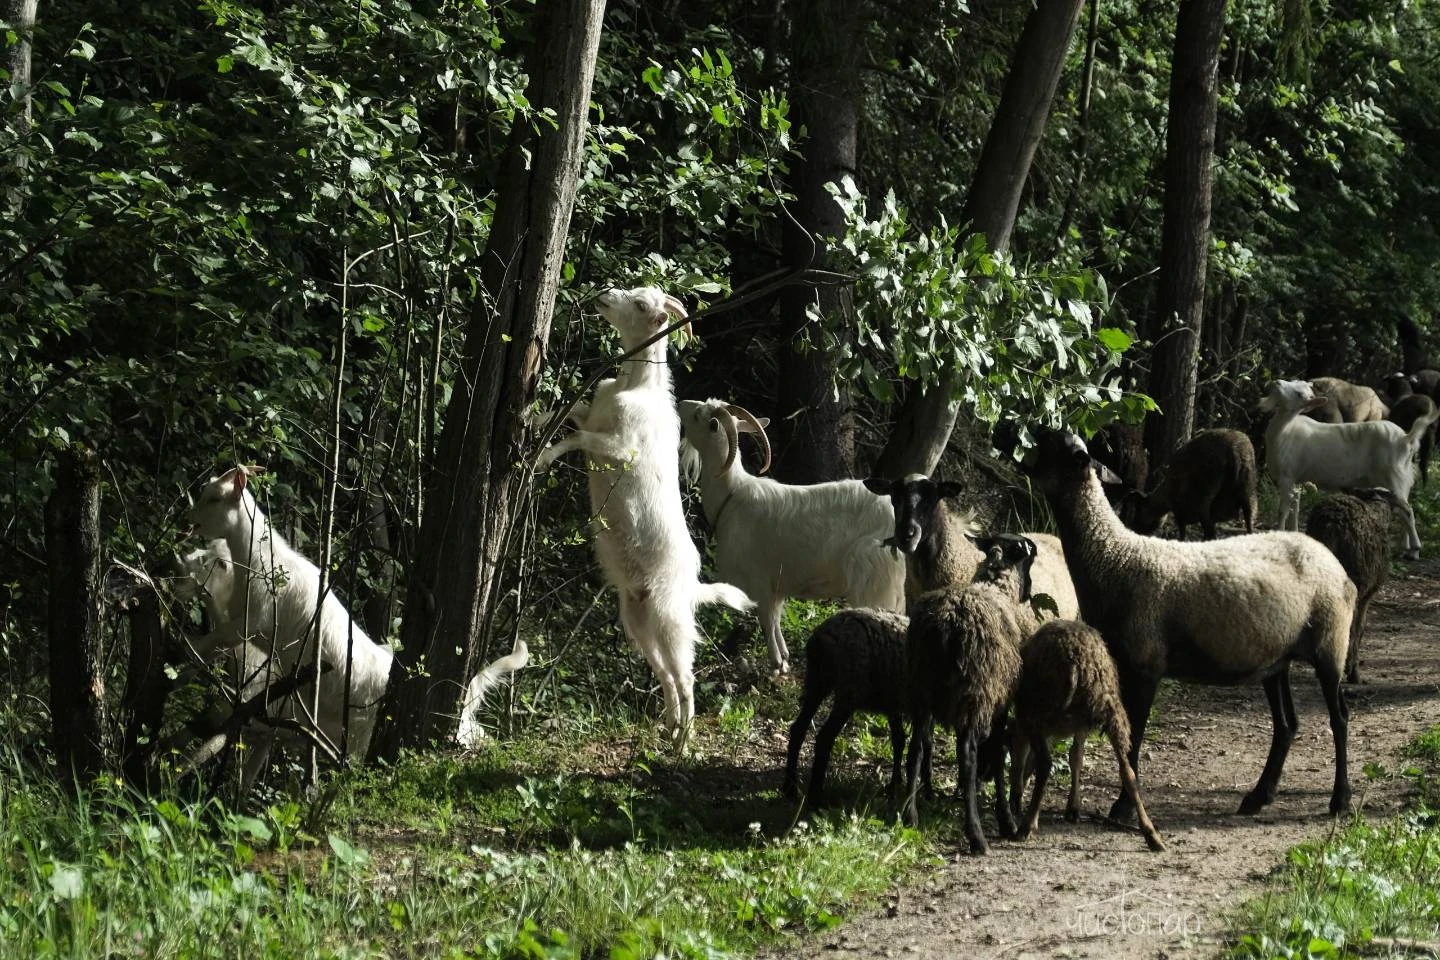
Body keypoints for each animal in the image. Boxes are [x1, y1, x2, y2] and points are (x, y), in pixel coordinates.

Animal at [673, 394, 898, 673]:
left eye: (698, 416)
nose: (681, 403)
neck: (731, 494)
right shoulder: (777, 582)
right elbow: (777, 618)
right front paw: (784, 655)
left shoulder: (759, 577)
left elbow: (767, 619)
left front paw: (777, 663)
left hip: (875, 577)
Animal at [1019, 431, 1353, 823]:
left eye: (1050, 444)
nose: (1007, 442)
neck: (1115, 558)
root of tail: (1332, 560)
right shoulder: (1123, 663)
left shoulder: (1146, 665)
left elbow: (1134, 737)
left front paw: (1123, 808)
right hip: (1277, 657)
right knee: (1287, 725)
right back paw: (1258, 796)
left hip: (1330, 642)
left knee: (1339, 718)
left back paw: (1340, 799)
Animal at [1307, 492, 1393, 687]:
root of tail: (1330, 524)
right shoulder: (1368, 593)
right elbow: (1360, 627)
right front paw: (1352, 672)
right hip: (1354, 581)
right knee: (1348, 627)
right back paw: (1349, 672)